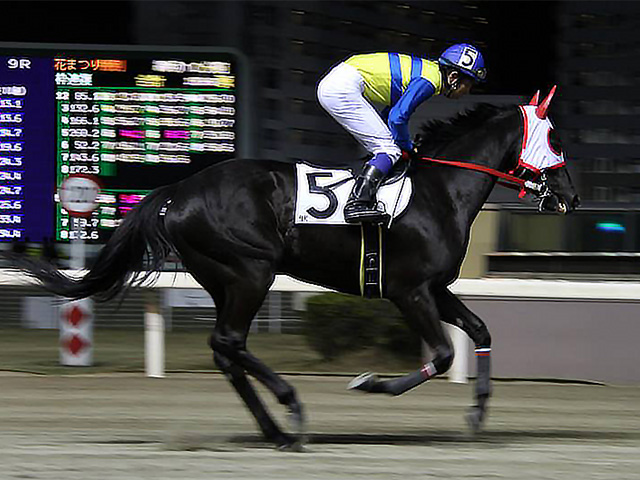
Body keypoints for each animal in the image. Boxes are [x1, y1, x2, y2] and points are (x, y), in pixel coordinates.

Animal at [4, 88, 579, 449]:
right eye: (554, 139)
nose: (570, 199)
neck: (440, 192)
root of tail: (176, 191)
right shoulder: (409, 290)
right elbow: (440, 354)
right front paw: (370, 383)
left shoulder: (436, 288)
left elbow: (480, 331)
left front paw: (478, 413)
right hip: (250, 271)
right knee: (229, 342)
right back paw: (291, 410)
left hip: (224, 276)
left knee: (226, 350)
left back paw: (277, 431)